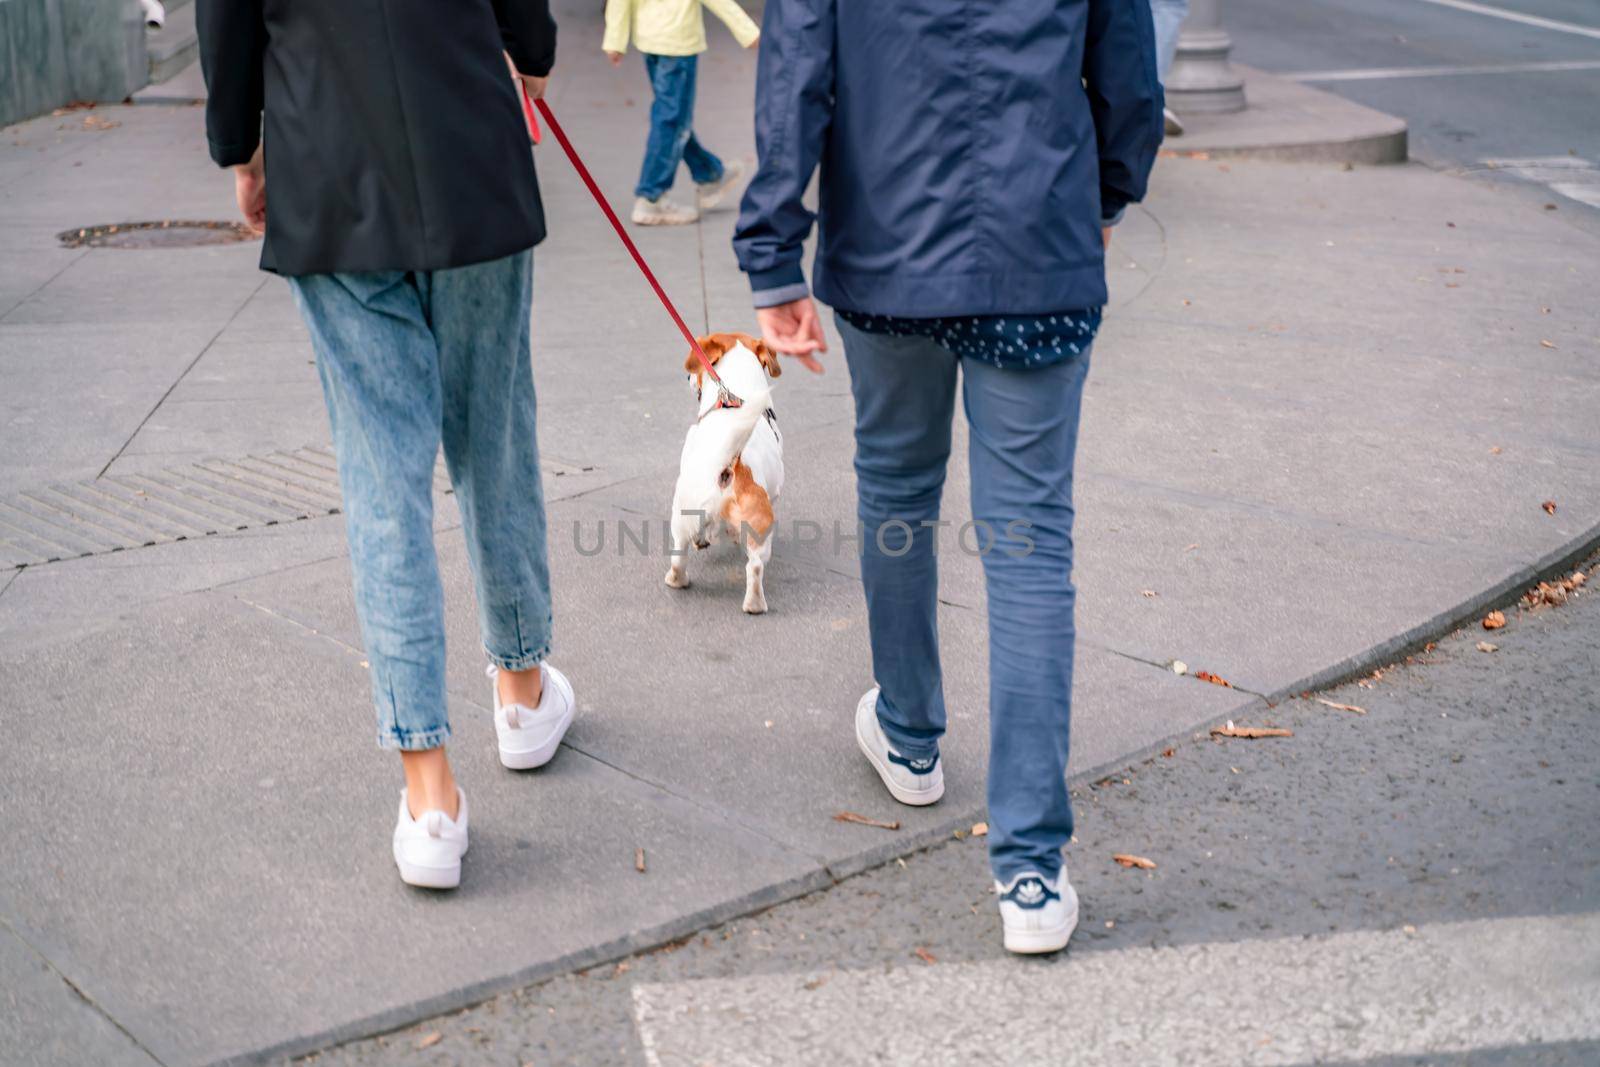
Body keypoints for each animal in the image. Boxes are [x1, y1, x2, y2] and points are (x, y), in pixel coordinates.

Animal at [665, 334, 784, 617]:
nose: (686, 377)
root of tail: (728, 465)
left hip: (681, 512)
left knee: (679, 553)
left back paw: (677, 579)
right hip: (759, 527)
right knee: (754, 566)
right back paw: (754, 604)